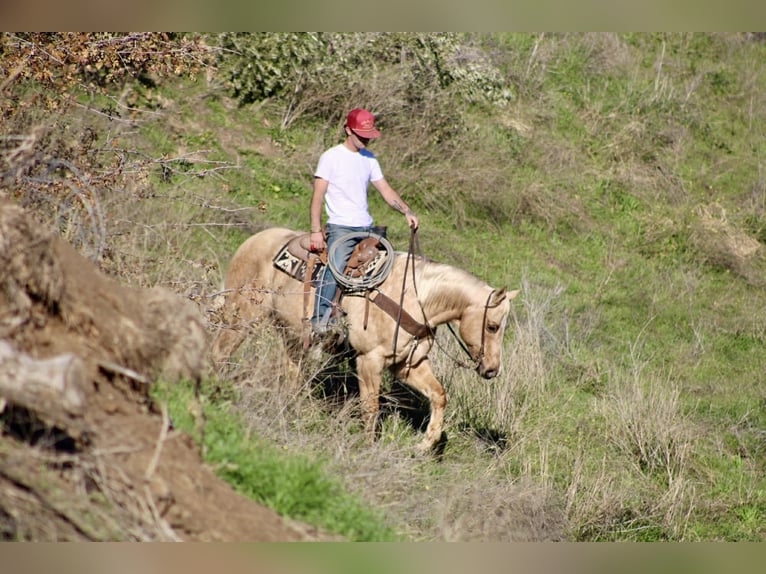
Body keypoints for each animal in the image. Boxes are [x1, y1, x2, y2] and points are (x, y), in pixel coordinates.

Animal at [211, 227, 519, 453]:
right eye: (492, 326)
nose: (492, 370)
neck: (414, 297)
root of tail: (253, 240)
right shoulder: (368, 360)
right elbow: (371, 406)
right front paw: (368, 446)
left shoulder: (408, 364)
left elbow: (439, 395)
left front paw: (425, 444)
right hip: (242, 316)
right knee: (221, 351)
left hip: (292, 335)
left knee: (291, 373)